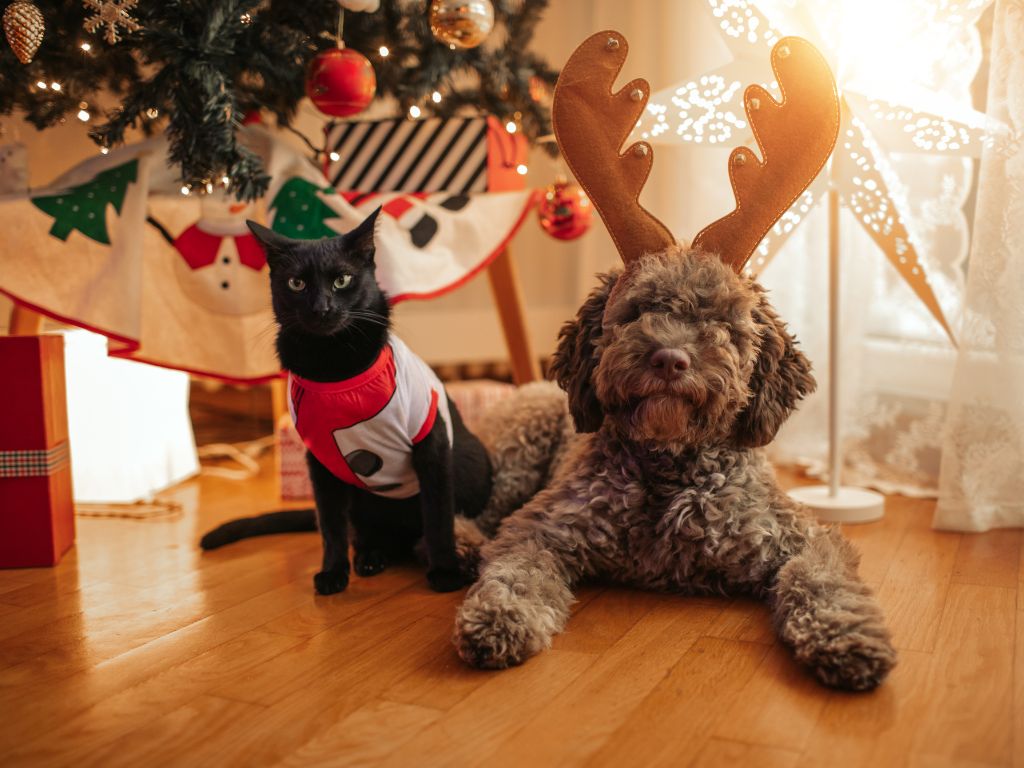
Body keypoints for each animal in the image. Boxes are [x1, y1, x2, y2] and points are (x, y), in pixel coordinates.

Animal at [200, 208, 491, 593]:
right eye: (296, 284)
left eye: (342, 280)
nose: (322, 308)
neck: (334, 369)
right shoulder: (321, 460)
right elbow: (331, 525)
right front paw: (333, 572)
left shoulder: (431, 444)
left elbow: (439, 517)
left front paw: (445, 571)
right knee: (364, 533)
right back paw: (370, 558)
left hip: (474, 466)